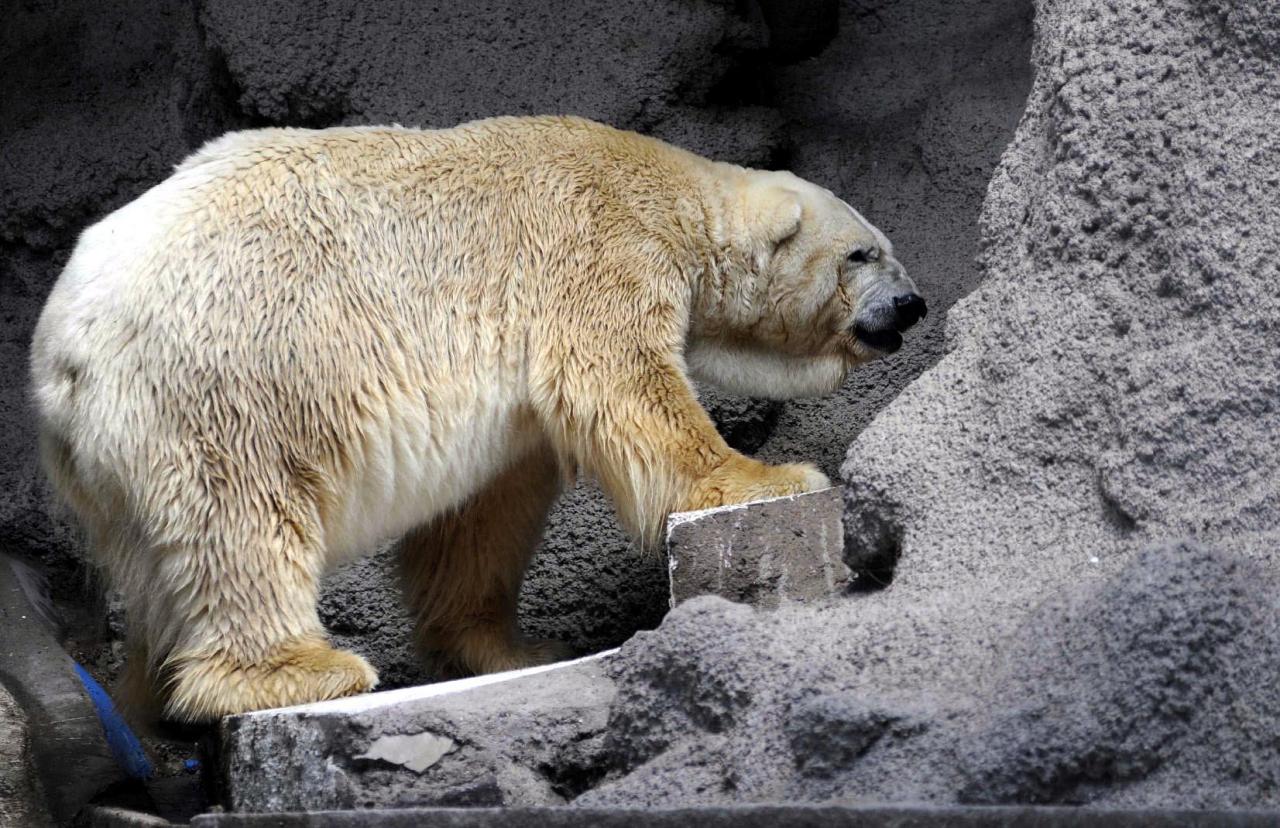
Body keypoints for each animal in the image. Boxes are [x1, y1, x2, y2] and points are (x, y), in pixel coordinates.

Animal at [30, 115, 925, 722]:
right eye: (863, 253)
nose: (912, 304)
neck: (667, 189)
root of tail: (62, 353)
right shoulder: (594, 244)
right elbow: (625, 383)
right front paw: (769, 474)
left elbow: (484, 513)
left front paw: (512, 645)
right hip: (224, 379)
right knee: (241, 522)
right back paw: (302, 668)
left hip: (117, 464)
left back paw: (143, 696)